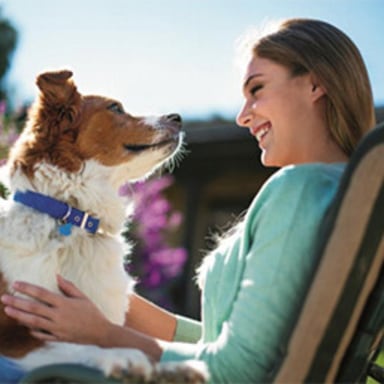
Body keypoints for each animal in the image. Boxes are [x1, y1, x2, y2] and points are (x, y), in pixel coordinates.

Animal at [0, 70, 207, 382]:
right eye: (115, 108)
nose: (178, 117)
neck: (72, 216)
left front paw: (175, 367)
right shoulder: (16, 334)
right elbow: (70, 345)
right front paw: (124, 357)